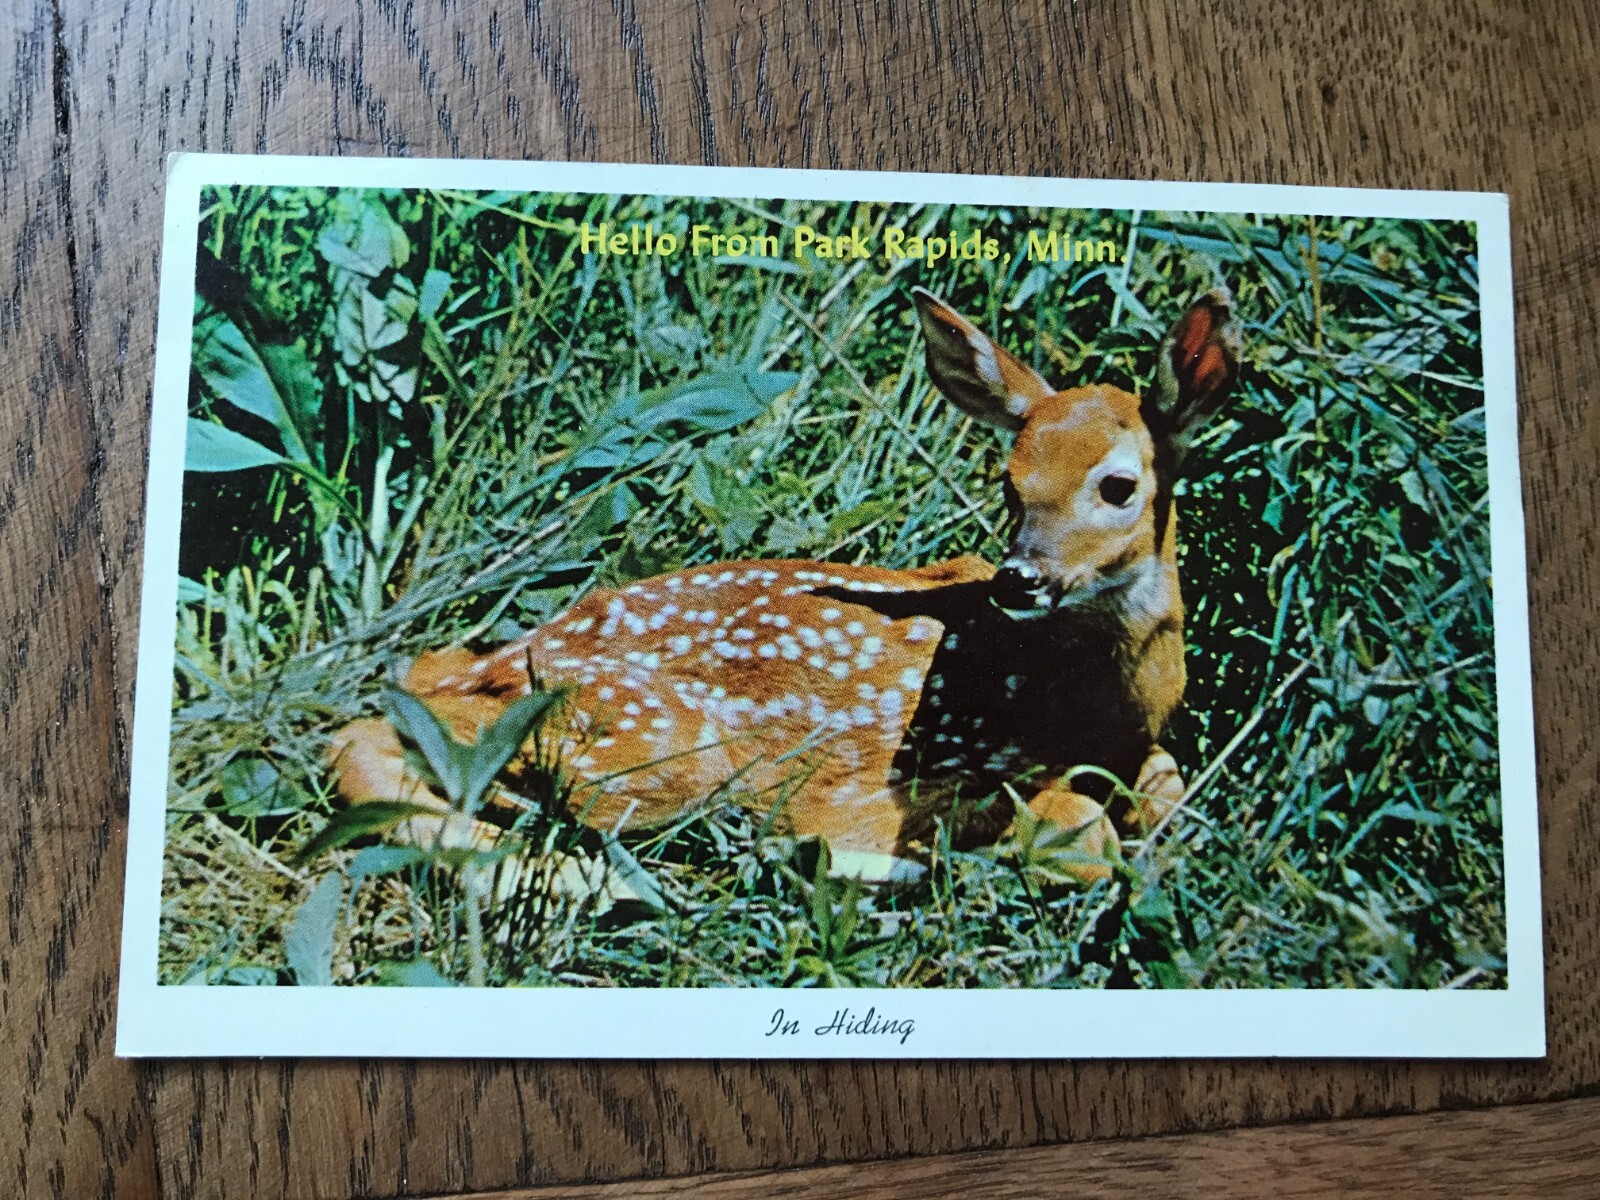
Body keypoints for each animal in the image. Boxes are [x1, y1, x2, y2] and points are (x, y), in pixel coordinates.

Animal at [329, 284, 1240, 886]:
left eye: (1118, 486)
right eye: (1009, 485)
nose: (1020, 577)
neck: (1092, 706)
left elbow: (1164, 788)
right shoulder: (925, 770)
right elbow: (1080, 834)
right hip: (657, 746)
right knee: (374, 741)